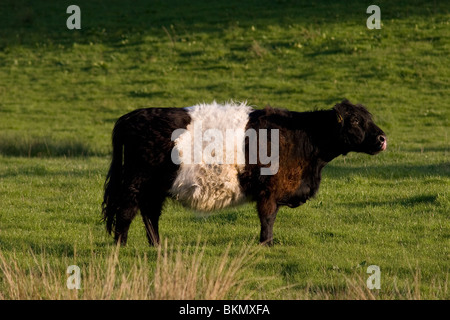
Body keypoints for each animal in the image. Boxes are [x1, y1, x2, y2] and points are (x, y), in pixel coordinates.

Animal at [102, 100, 386, 248]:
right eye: (356, 121)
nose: (383, 138)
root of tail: (132, 116)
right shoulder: (269, 191)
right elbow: (268, 218)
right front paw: (266, 244)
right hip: (137, 181)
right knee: (127, 211)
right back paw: (120, 245)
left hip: (156, 185)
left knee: (150, 213)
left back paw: (157, 245)